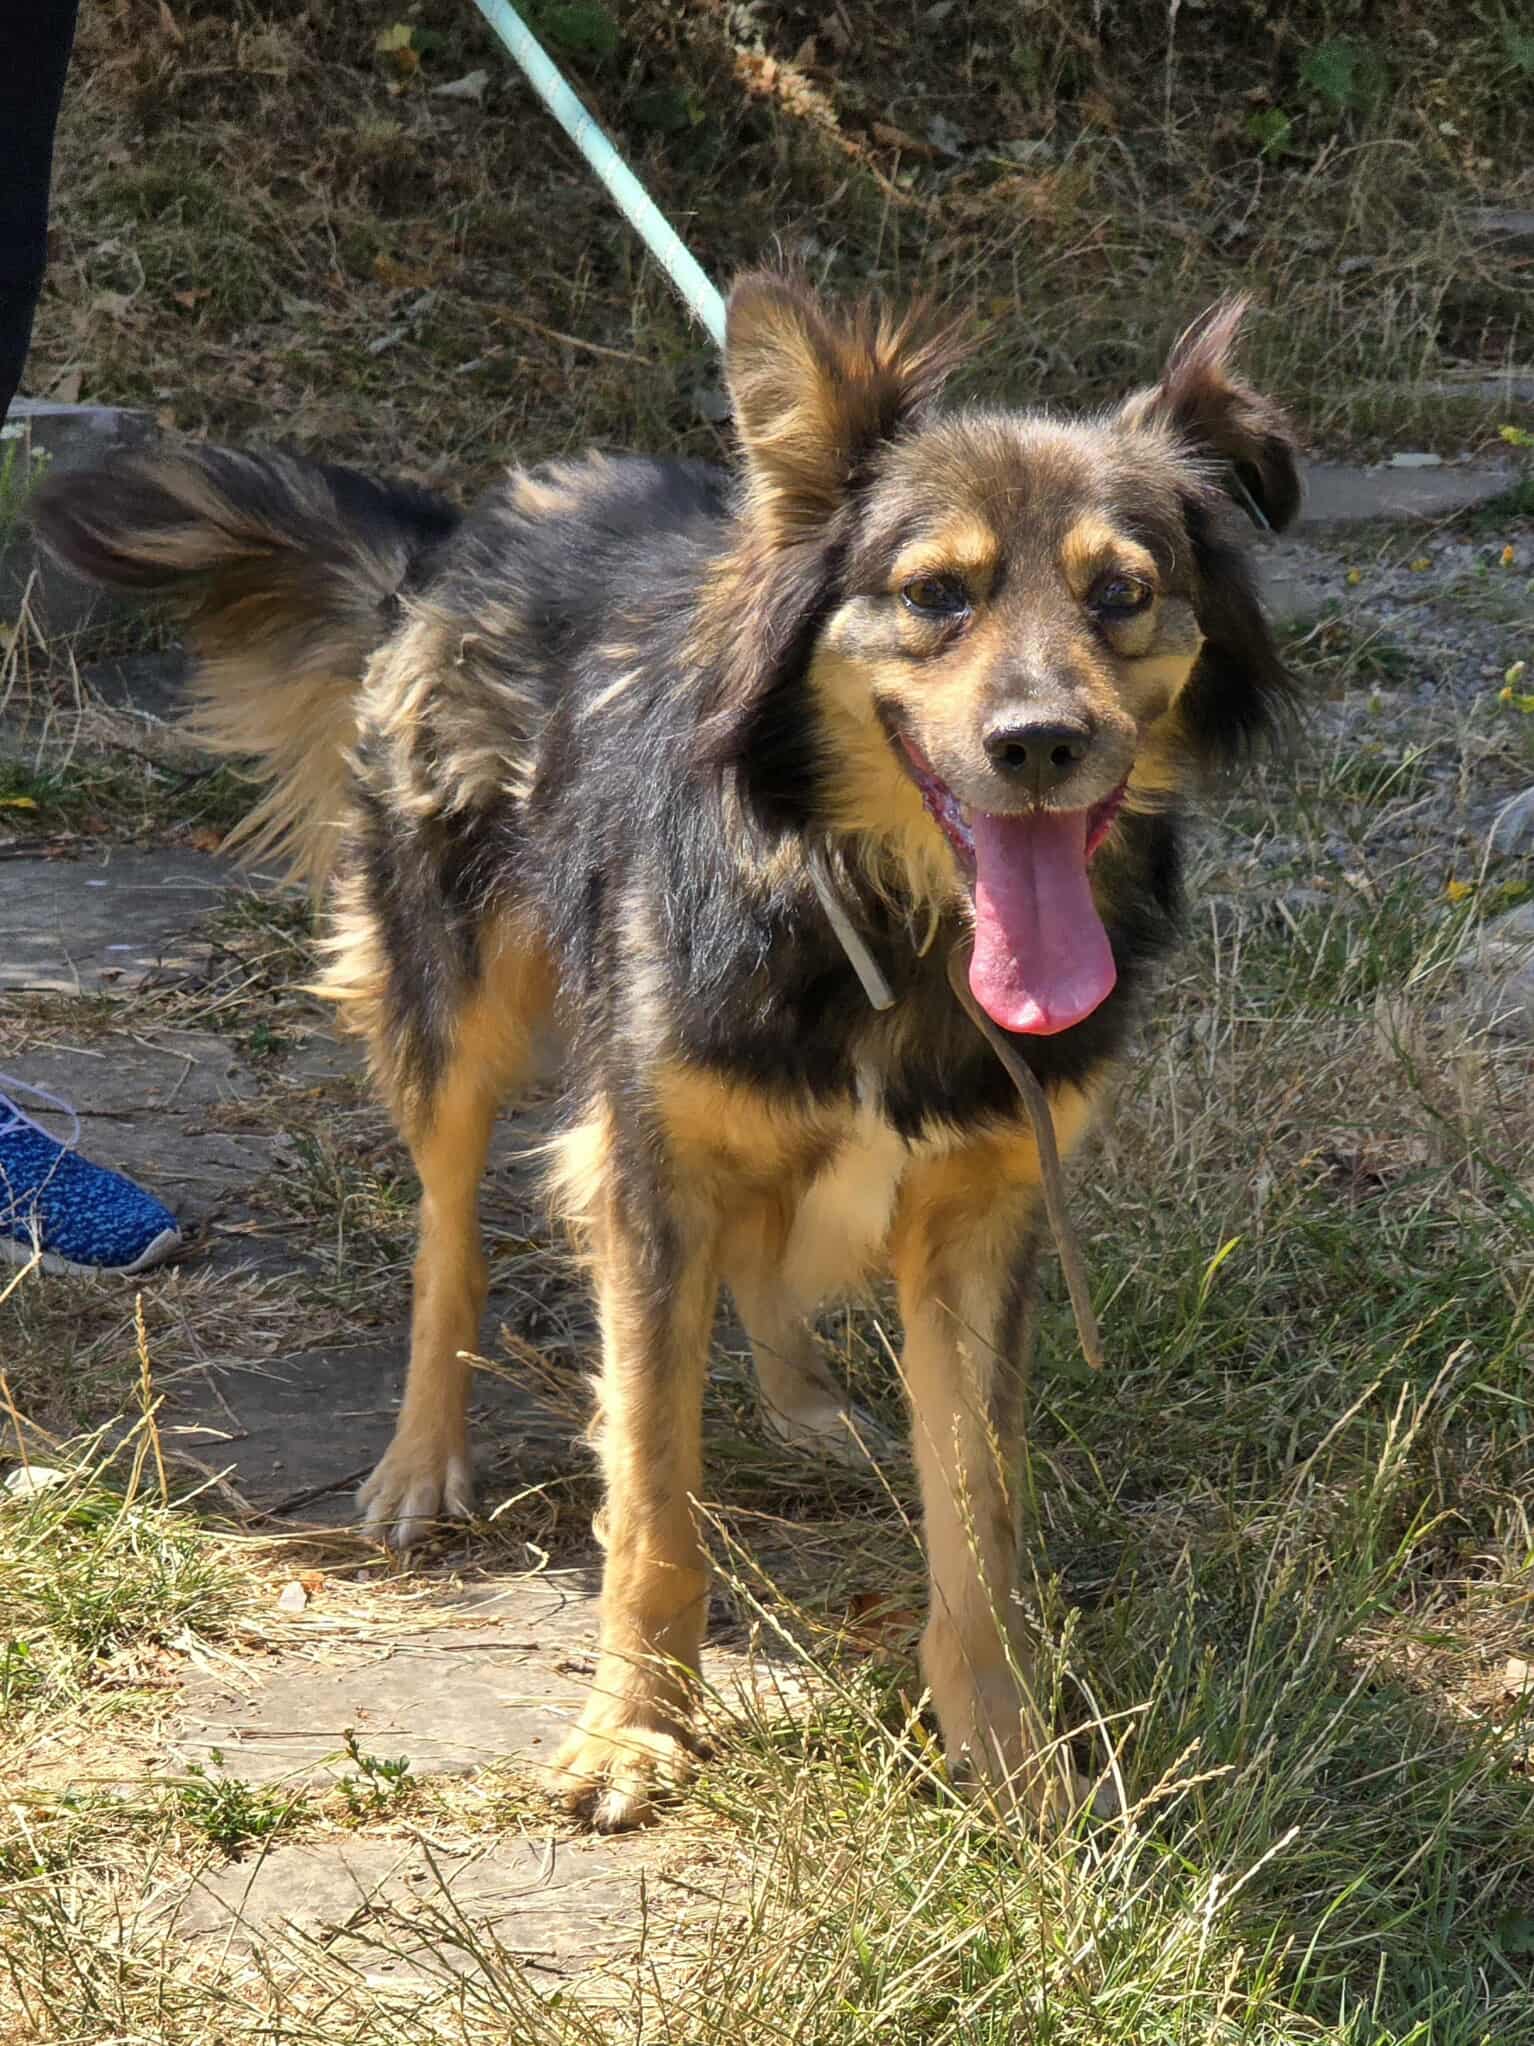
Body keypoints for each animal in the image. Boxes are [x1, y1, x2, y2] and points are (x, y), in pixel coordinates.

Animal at [35, 273, 1300, 1831]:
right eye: (935, 595)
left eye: (1120, 592)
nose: (1041, 744)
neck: (875, 907)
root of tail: (467, 528)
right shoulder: (648, 1170)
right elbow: (648, 1493)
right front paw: (634, 1729)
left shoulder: (981, 1211)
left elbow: (977, 1518)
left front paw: (1010, 1762)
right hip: (452, 997)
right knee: (447, 1235)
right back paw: (419, 1460)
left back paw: (806, 1400)